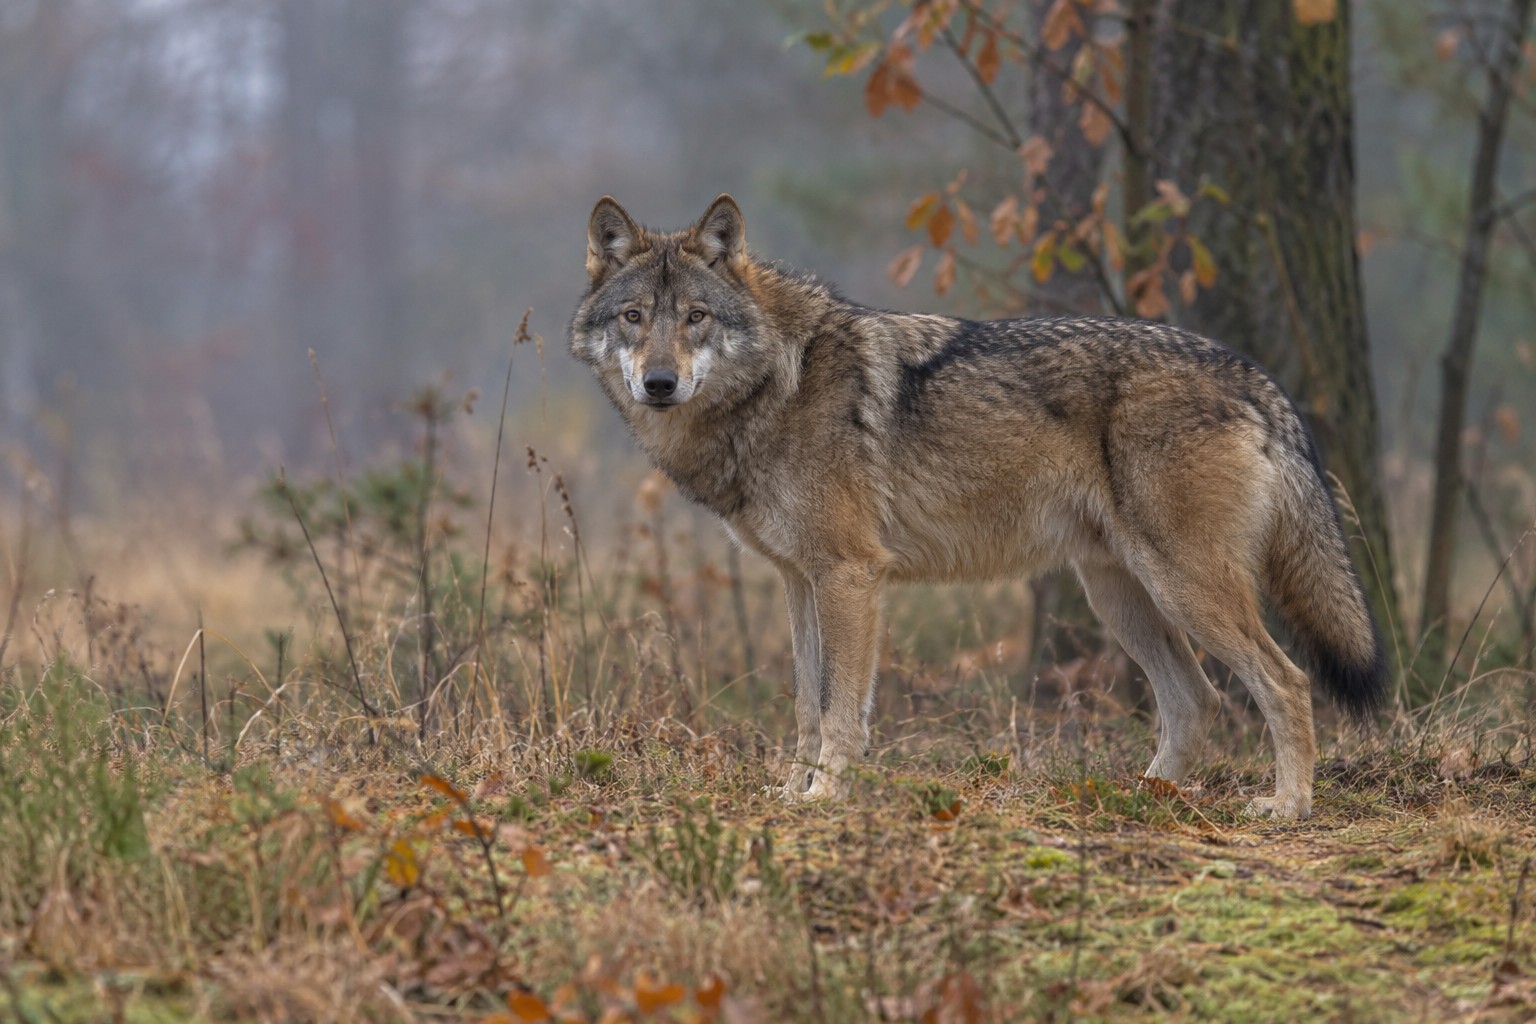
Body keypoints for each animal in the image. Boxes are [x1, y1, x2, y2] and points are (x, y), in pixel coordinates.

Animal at [568, 194, 1387, 818]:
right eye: (634, 317)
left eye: (696, 317)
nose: (660, 383)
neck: (776, 384)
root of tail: (1254, 375)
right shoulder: (800, 582)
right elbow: (804, 704)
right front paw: (792, 791)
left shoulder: (851, 576)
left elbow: (839, 710)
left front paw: (827, 796)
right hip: (1122, 597)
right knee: (1195, 700)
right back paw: (1144, 796)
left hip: (1186, 588)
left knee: (1287, 683)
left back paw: (1288, 805)